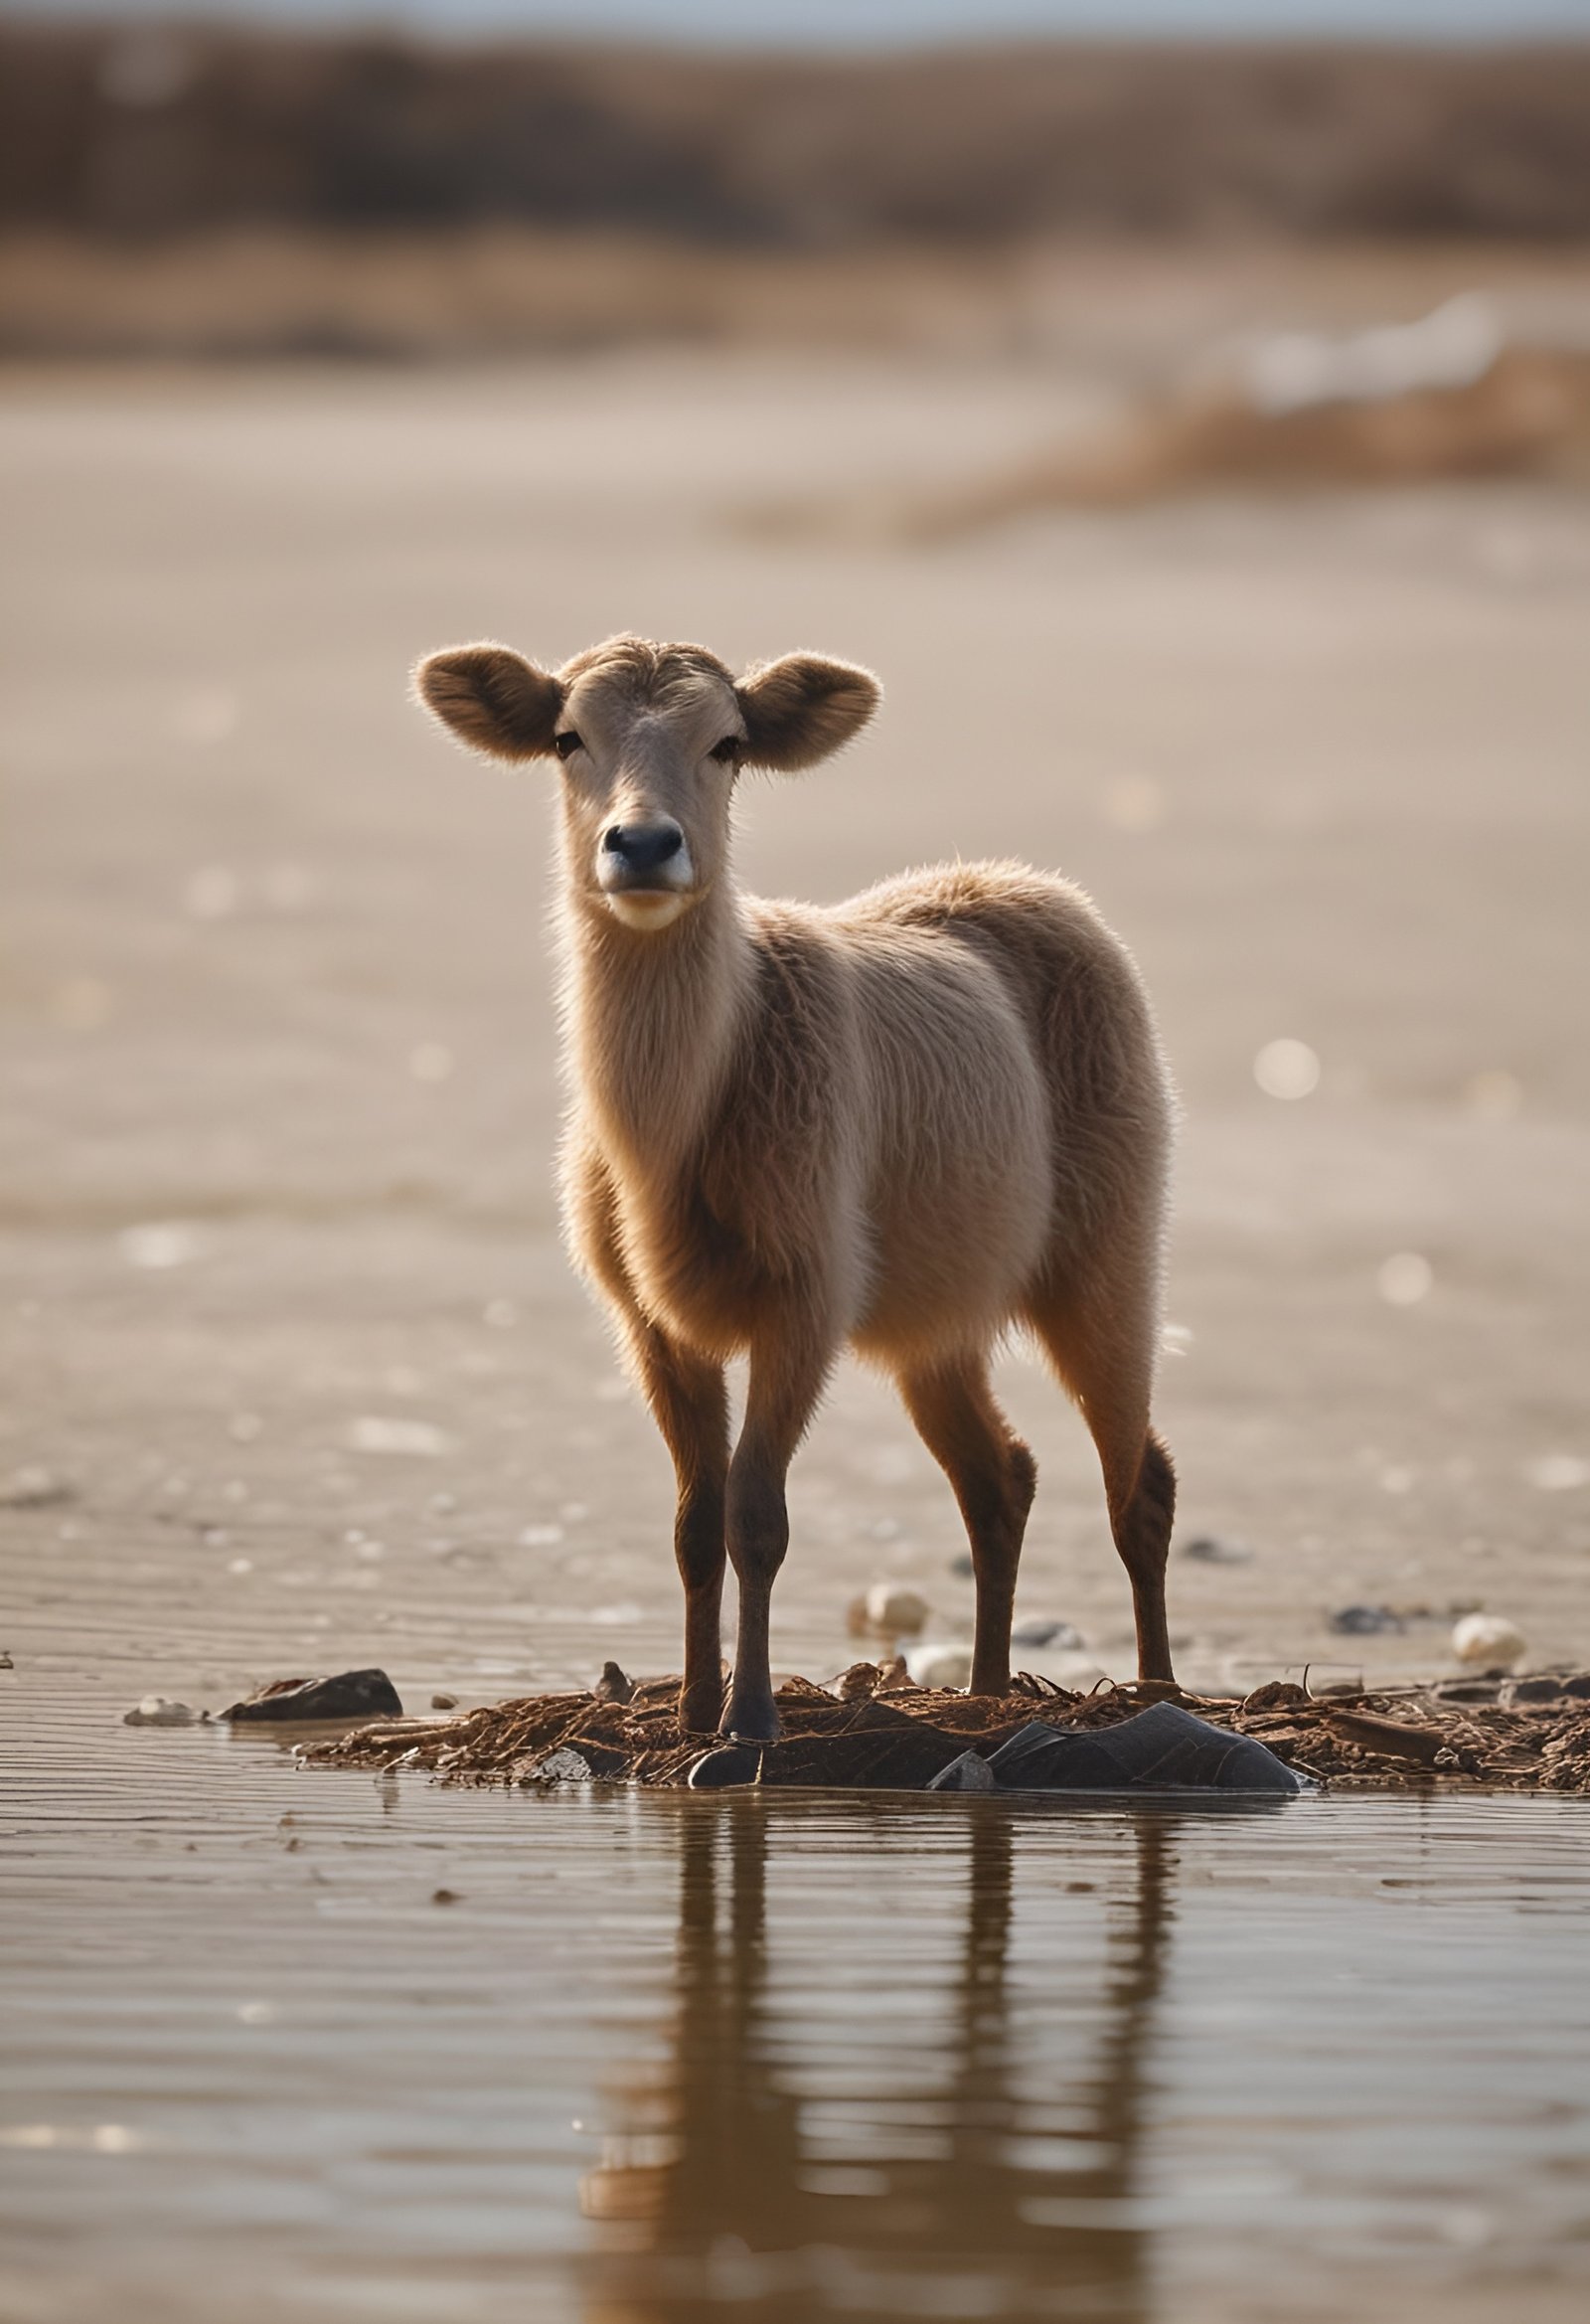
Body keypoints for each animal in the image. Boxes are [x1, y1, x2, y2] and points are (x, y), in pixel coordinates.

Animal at [415, 634, 1177, 1741]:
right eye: (567, 737)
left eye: (727, 744)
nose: (643, 844)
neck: (668, 1145)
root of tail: (1030, 881)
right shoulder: (650, 1320)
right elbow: (693, 1522)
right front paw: (692, 1712)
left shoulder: (806, 1294)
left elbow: (756, 1516)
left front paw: (747, 1728)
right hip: (933, 1312)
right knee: (1000, 1478)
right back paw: (986, 1688)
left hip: (1108, 1247)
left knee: (1140, 1482)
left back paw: (1162, 1694)